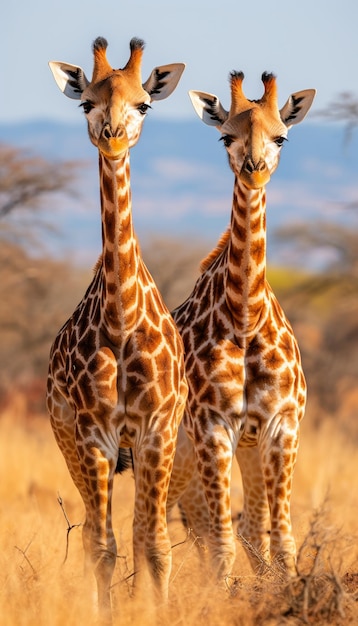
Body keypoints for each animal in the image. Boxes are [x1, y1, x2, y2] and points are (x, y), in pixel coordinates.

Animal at [166, 72, 314, 580]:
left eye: (281, 136)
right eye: (225, 135)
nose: (253, 167)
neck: (246, 318)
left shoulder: (280, 426)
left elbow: (279, 538)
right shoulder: (212, 429)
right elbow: (222, 548)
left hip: (238, 449)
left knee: (241, 527)